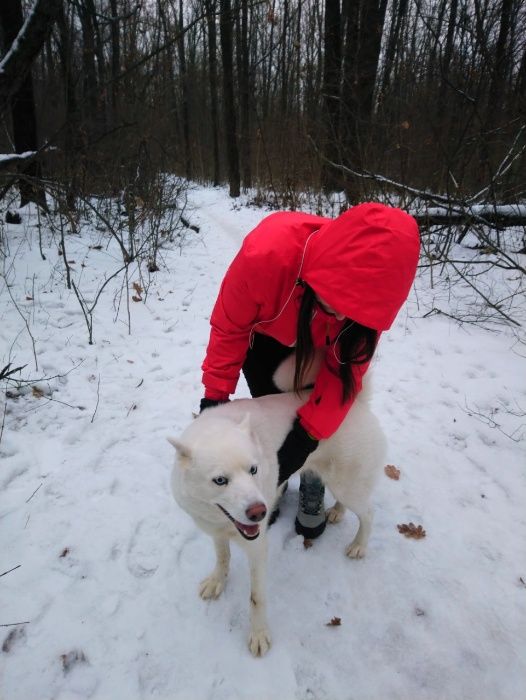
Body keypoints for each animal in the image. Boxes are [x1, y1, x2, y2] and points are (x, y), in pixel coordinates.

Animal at [170, 360, 388, 656]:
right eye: (220, 480)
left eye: (254, 469)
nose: (259, 512)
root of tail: (356, 402)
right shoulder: (216, 531)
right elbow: (222, 557)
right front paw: (218, 581)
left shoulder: (257, 548)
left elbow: (256, 598)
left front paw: (259, 635)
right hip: (340, 482)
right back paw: (336, 512)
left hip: (348, 484)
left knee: (368, 513)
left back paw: (358, 546)